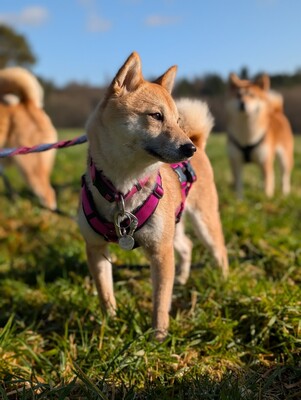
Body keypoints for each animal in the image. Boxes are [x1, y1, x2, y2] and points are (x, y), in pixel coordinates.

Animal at [78, 52, 227, 340]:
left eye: (177, 121)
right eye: (156, 115)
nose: (188, 148)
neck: (123, 188)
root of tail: (199, 141)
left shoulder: (160, 252)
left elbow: (160, 301)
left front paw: (158, 337)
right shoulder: (96, 248)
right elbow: (105, 292)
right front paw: (109, 323)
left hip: (203, 223)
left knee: (220, 251)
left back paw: (226, 283)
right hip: (173, 227)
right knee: (187, 246)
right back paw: (182, 278)